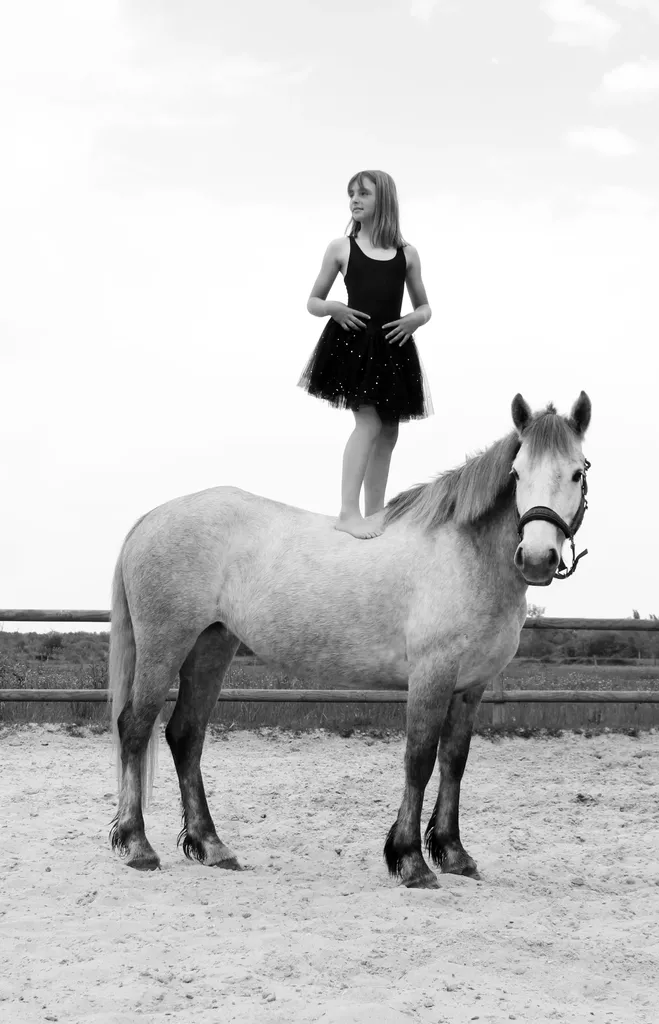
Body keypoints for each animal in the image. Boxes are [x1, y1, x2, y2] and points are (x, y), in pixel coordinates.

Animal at [109, 391, 591, 888]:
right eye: (517, 473)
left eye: (578, 472)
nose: (536, 558)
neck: (464, 555)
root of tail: (153, 517)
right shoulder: (431, 677)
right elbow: (419, 759)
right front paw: (411, 861)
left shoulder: (470, 687)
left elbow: (454, 761)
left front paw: (454, 854)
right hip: (164, 647)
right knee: (135, 728)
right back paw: (137, 845)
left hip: (211, 647)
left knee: (186, 735)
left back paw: (211, 845)